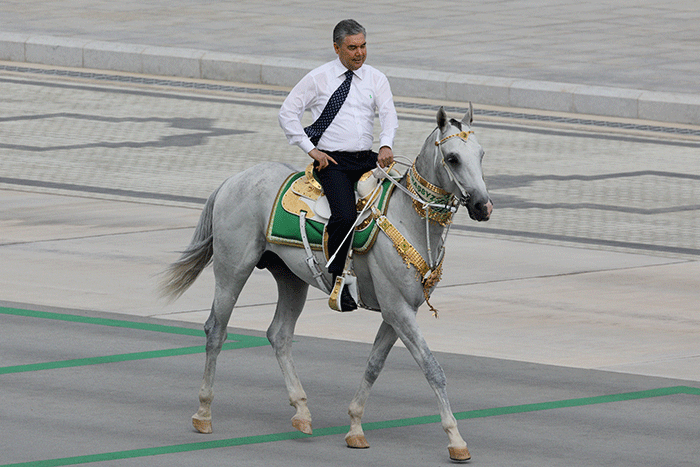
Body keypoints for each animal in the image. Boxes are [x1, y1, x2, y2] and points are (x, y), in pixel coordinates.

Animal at [163, 108, 492, 462]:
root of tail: (234, 180)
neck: (408, 218)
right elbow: (433, 369)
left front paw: (355, 427)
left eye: (481, 154)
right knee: (216, 331)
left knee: (279, 335)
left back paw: (301, 411)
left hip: (291, 279)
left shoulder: (397, 313)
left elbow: (374, 365)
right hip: (232, 270)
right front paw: (455, 439)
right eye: (453, 158)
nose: (483, 206)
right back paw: (204, 413)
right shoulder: (398, 310)